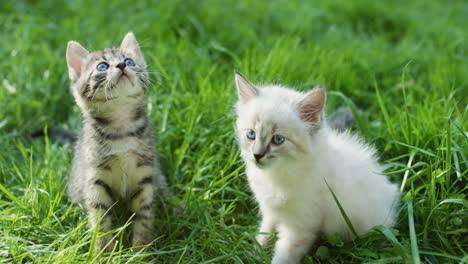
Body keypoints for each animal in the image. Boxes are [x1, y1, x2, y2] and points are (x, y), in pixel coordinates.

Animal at [66, 32, 168, 252]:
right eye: (102, 66)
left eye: (129, 61)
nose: (121, 65)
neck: (122, 131)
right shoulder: (94, 178)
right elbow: (100, 222)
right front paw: (104, 253)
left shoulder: (145, 176)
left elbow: (144, 219)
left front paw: (140, 252)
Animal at [234, 72, 398, 264]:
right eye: (251, 134)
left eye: (278, 140)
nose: (257, 155)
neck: (278, 174)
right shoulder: (270, 212)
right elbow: (263, 236)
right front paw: (252, 254)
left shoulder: (300, 228)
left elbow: (282, 257)